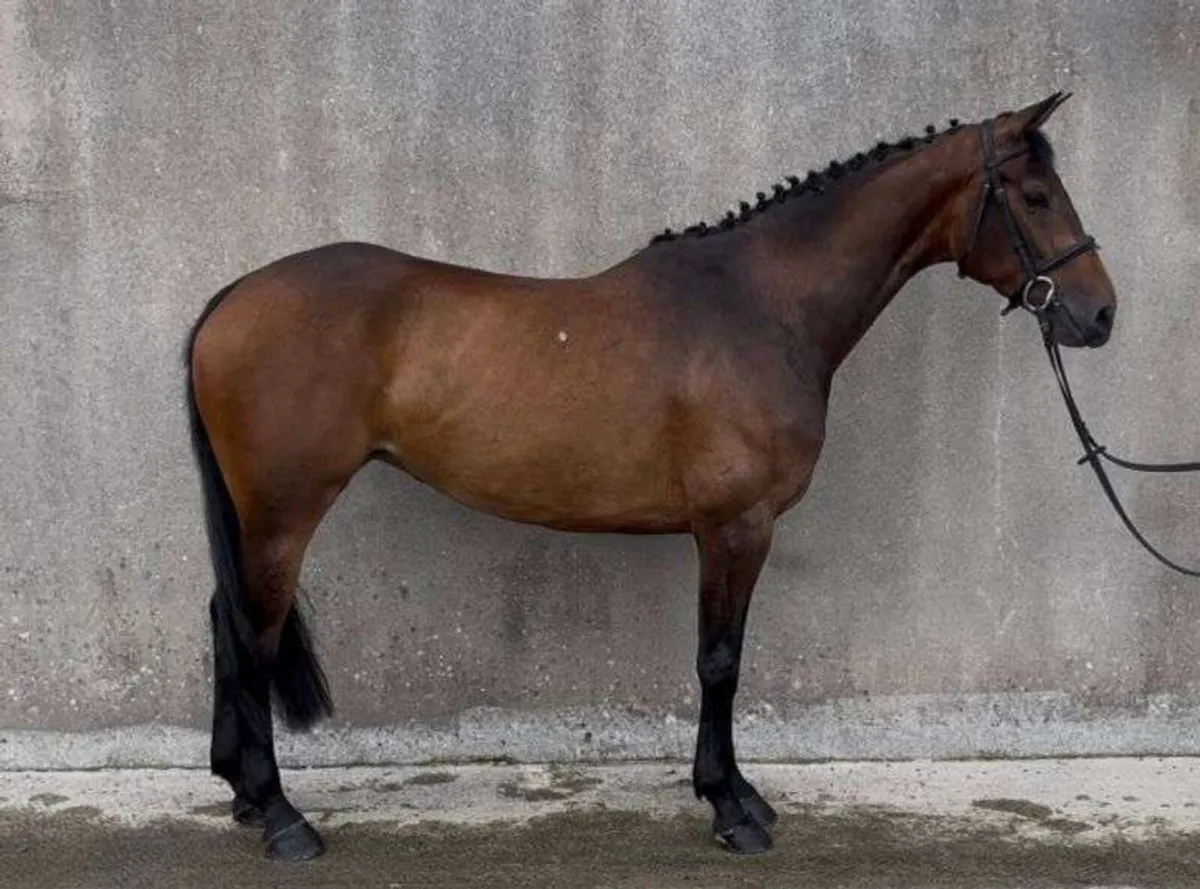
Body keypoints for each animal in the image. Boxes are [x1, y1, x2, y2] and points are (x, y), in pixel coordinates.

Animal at [185, 92, 1116, 860]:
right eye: (1036, 196)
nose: (1100, 313)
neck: (762, 305)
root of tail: (235, 297)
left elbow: (721, 659)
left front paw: (739, 794)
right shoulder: (736, 525)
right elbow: (720, 660)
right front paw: (731, 808)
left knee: (228, 620)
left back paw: (243, 792)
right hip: (283, 512)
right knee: (253, 632)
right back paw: (282, 819)